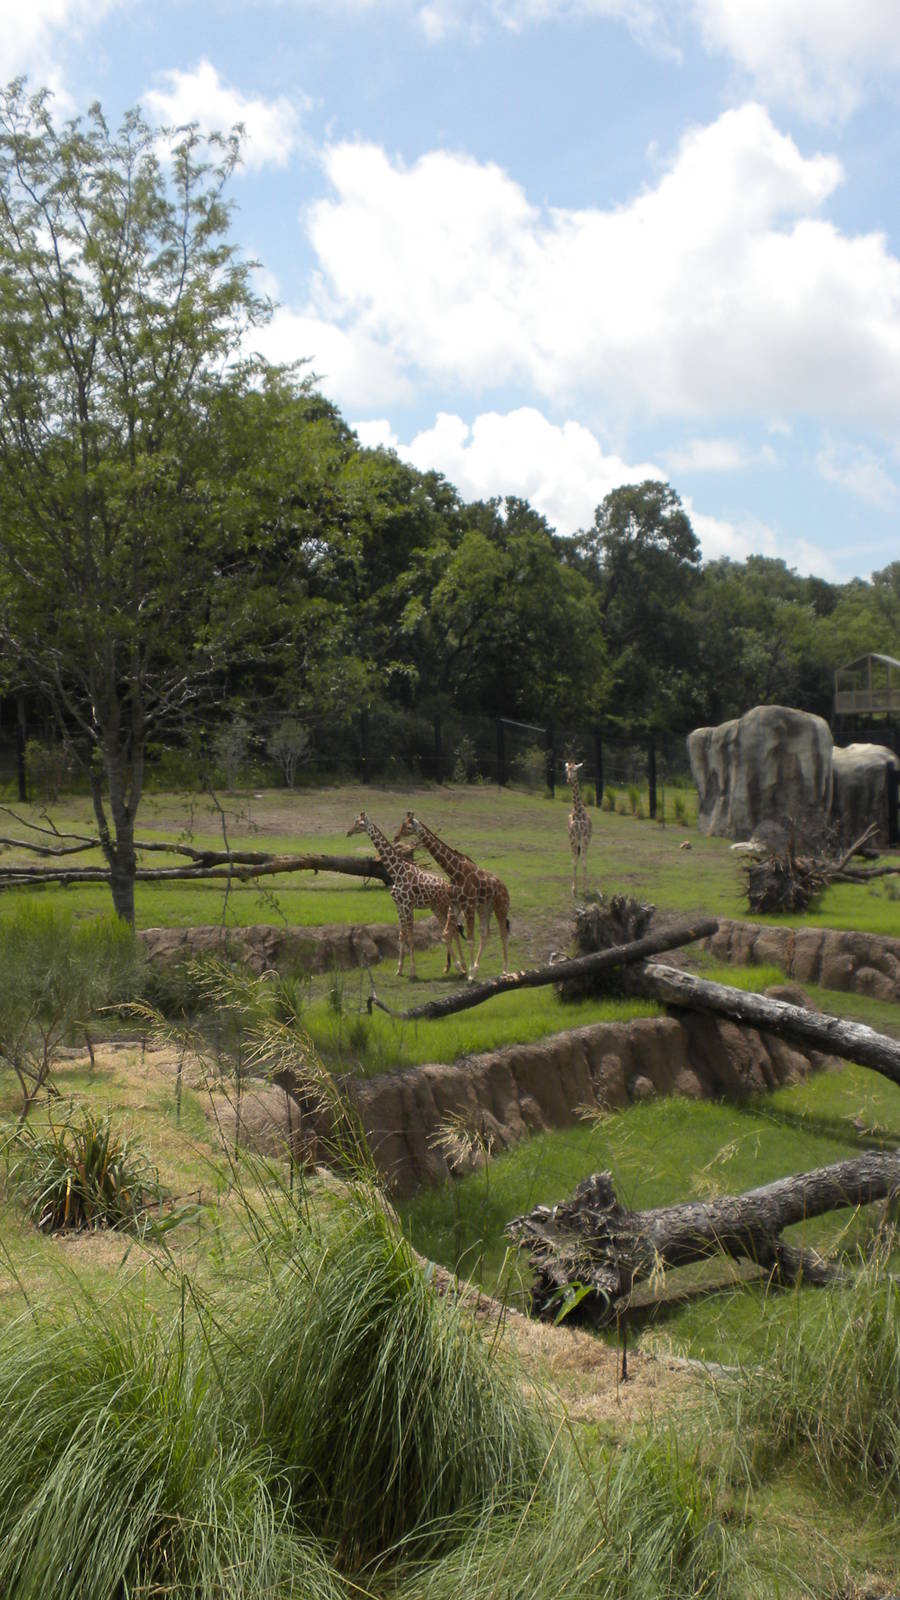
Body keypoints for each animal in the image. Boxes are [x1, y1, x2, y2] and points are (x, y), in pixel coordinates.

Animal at [346, 812, 466, 979]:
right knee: (450, 930)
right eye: (355, 821)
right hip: (435, 908)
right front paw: (399, 969)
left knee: (452, 930)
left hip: (443, 906)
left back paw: (460, 967)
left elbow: (410, 936)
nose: (348, 832)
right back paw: (453, 967)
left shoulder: (408, 905)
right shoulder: (399, 906)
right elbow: (402, 935)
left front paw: (412, 972)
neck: (397, 872)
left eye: (360, 824)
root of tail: (449, 886)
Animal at [394, 811, 510, 979]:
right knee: (485, 933)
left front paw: (469, 975)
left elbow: (469, 939)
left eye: (408, 827)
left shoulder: (468, 905)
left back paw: (505, 970)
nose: (396, 837)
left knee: (503, 933)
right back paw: (477, 968)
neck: (455, 872)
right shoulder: (455, 904)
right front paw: (464, 969)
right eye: (402, 823)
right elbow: (446, 934)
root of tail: (504, 886)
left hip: (501, 906)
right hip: (484, 907)